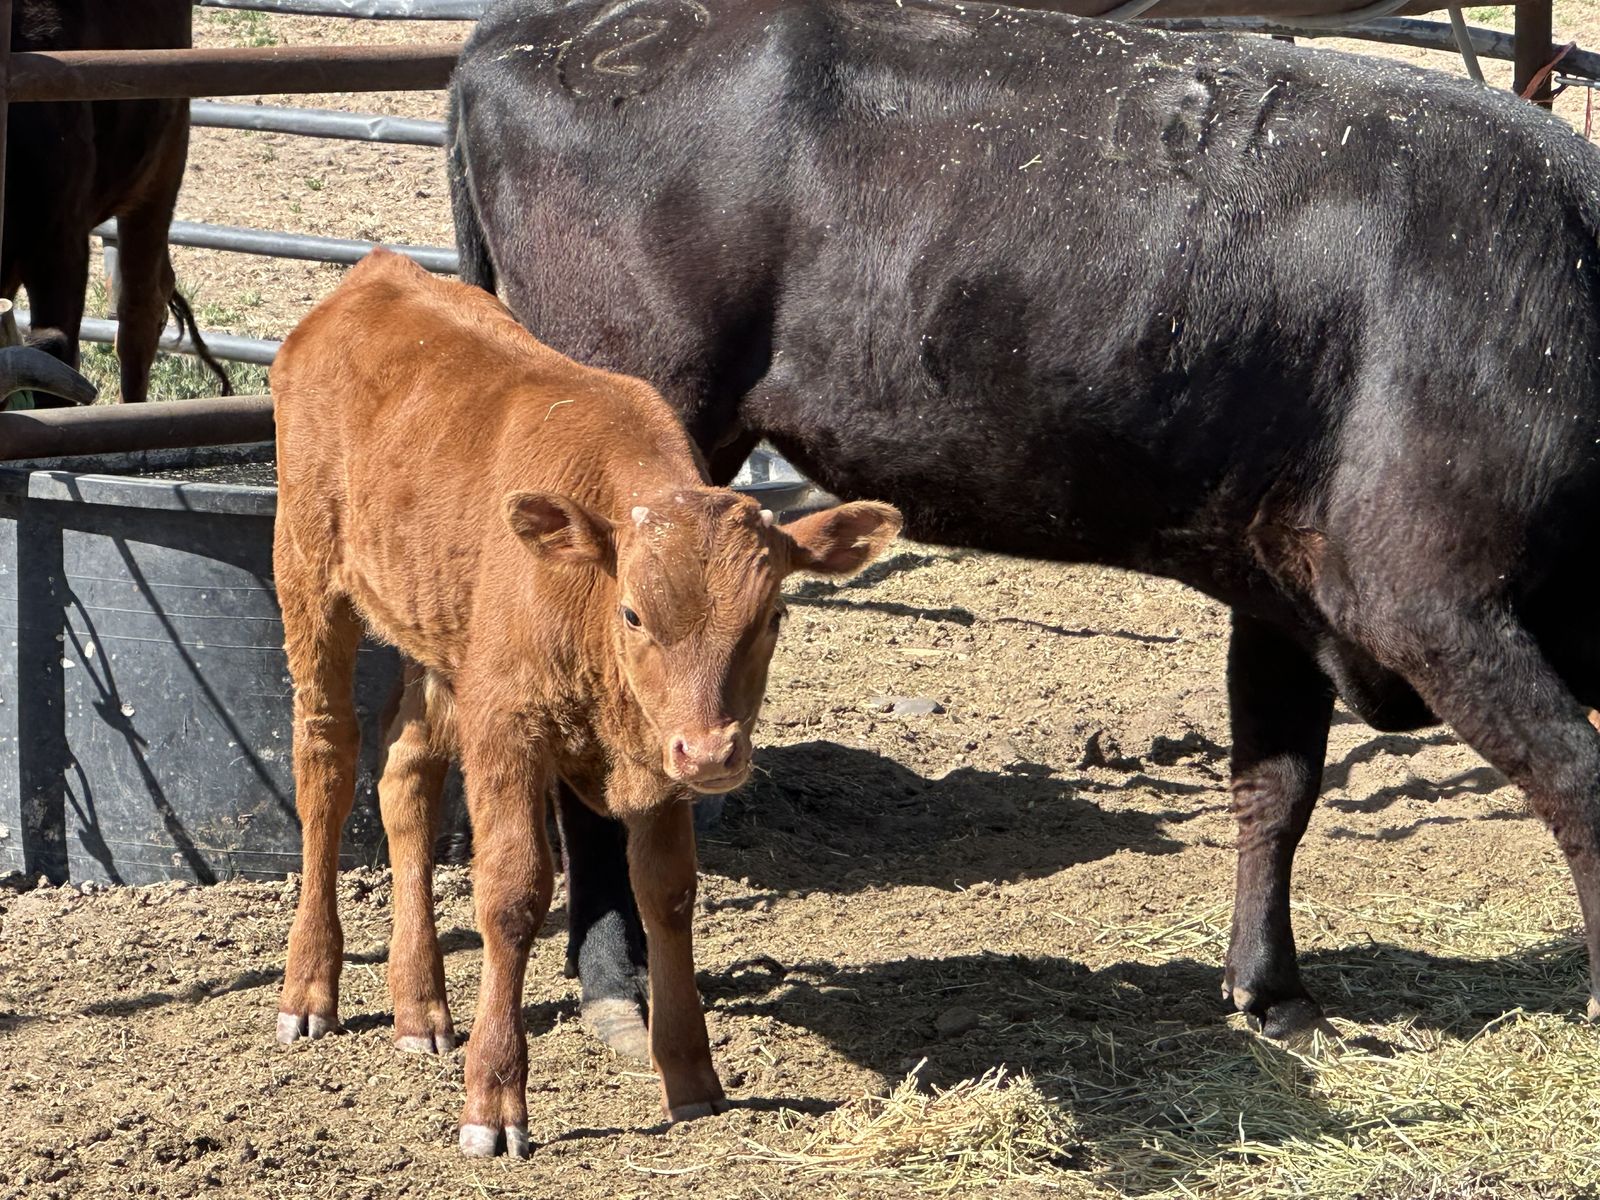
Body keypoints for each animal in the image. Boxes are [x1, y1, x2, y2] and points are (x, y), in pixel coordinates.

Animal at [269, 248, 900, 1155]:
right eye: (633, 612)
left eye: (774, 616)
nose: (716, 751)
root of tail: (375, 275)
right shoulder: (507, 724)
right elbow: (512, 893)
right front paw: (494, 1100)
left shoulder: (654, 746)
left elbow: (667, 890)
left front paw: (692, 1077)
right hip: (309, 574)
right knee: (326, 756)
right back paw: (309, 988)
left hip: (440, 640)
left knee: (404, 773)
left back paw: (420, 1006)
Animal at [447, 0, 1600, 1050]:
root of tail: (523, 37)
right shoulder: (1430, 603)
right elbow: (1578, 777)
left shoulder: (1284, 594)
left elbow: (1276, 789)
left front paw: (1271, 992)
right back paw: (617, 981)